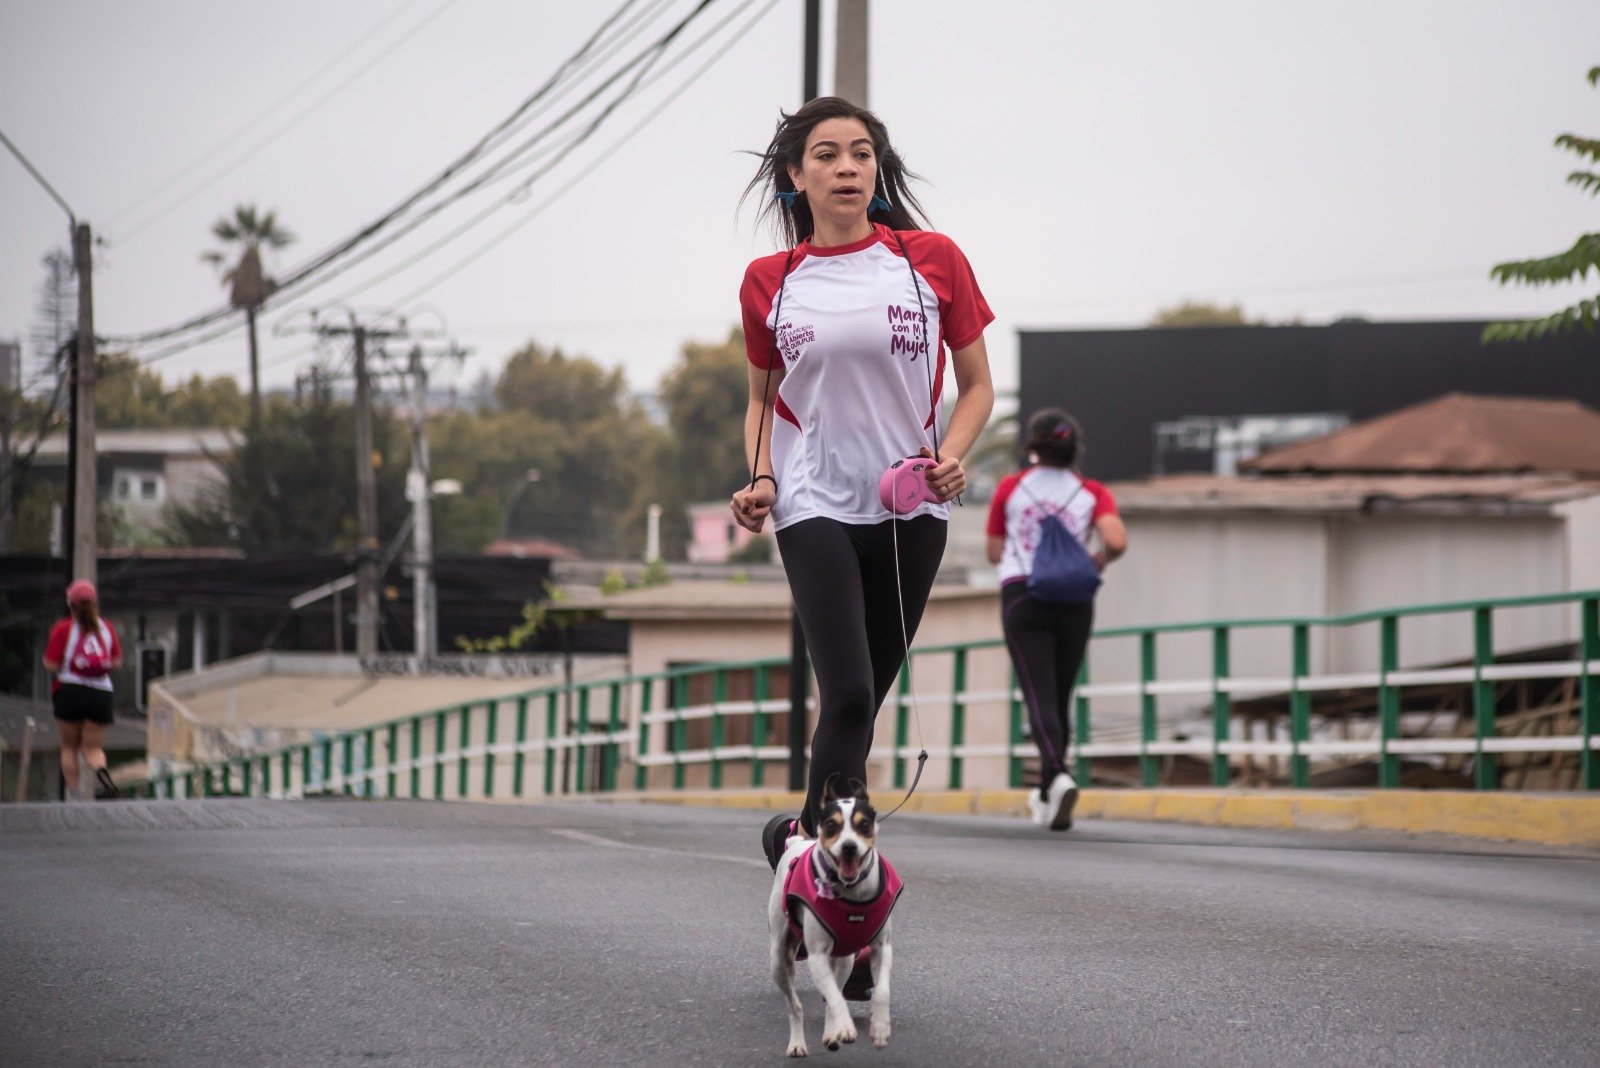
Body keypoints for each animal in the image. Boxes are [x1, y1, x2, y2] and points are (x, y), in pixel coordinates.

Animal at [771, 777, 908, 1061]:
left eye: (863, 825)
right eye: (832, 826)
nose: (849, 846)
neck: (851, 891)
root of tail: (796, 844)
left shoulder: (882, 948)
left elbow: (881, 991)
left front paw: (880, 1028)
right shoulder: (817, 956)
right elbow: (835, 998)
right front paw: (845, 1027)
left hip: (845, 960)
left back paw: (831, 1035)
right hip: (779, 960)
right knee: (795, 1004)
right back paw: (798, 1043)